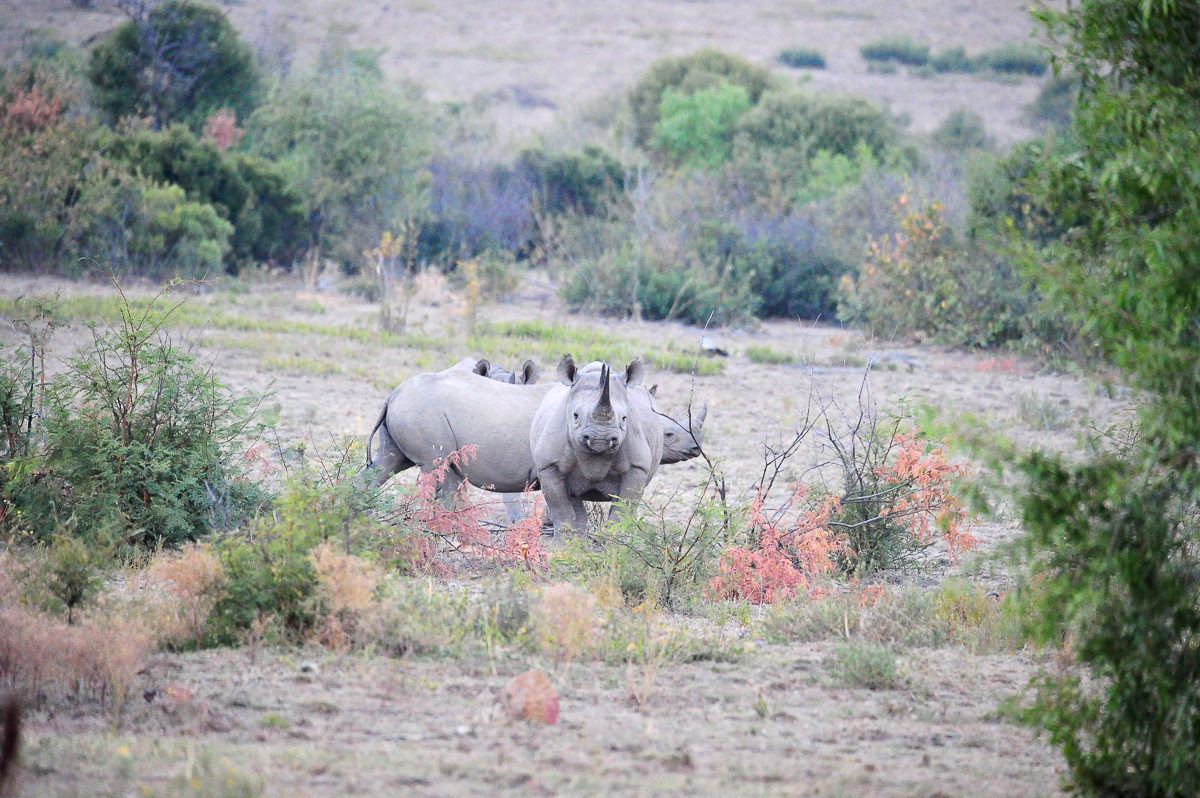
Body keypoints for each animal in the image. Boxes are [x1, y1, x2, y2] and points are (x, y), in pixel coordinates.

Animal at [529, 356, 662, 535]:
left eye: (624, 418)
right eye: (575, 416)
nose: (601, 439)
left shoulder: (637, 467)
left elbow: (622, 513)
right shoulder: (549, 465)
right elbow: (561, 512)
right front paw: (563, 543)